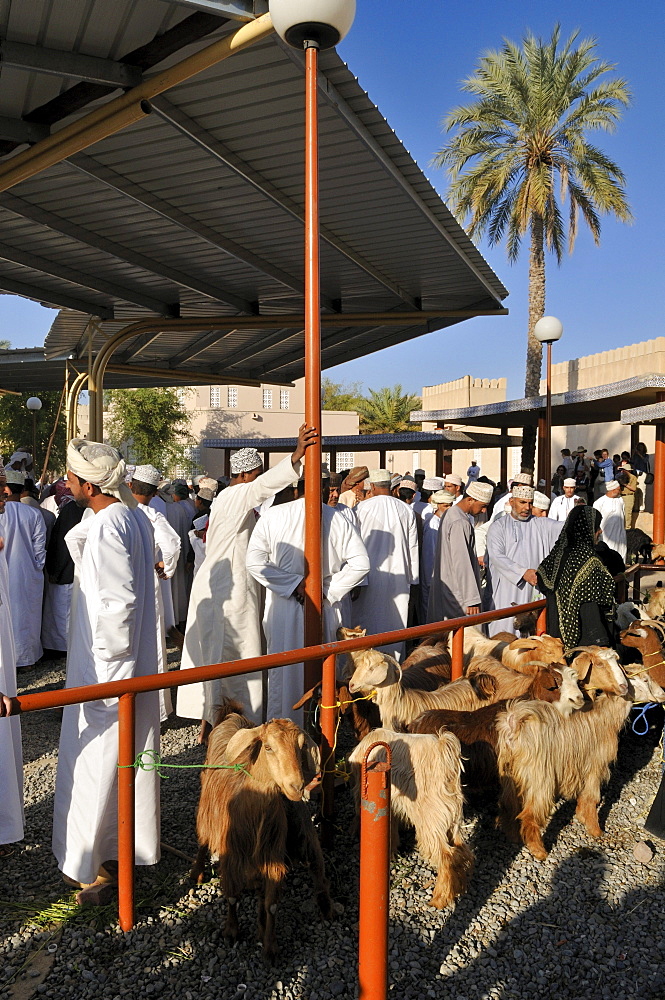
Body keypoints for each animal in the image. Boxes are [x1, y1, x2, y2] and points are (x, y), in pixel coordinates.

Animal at [192, 712, 332, 960]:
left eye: (302, 747)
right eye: (268, 747)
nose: (296, 786)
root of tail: (232, 716)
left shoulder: (272, 858)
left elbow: (271, 906)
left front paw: (270, 947)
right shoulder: (231, 858)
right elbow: (232, 896)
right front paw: (231, 931)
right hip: (206, 811)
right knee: (202, 840)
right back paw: (197, 873)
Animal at [348, 732, 472, 912]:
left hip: (430, 823)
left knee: (448, 857)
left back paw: (440, 897)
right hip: (452, 820)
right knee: (462, 852)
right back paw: (459, 886)